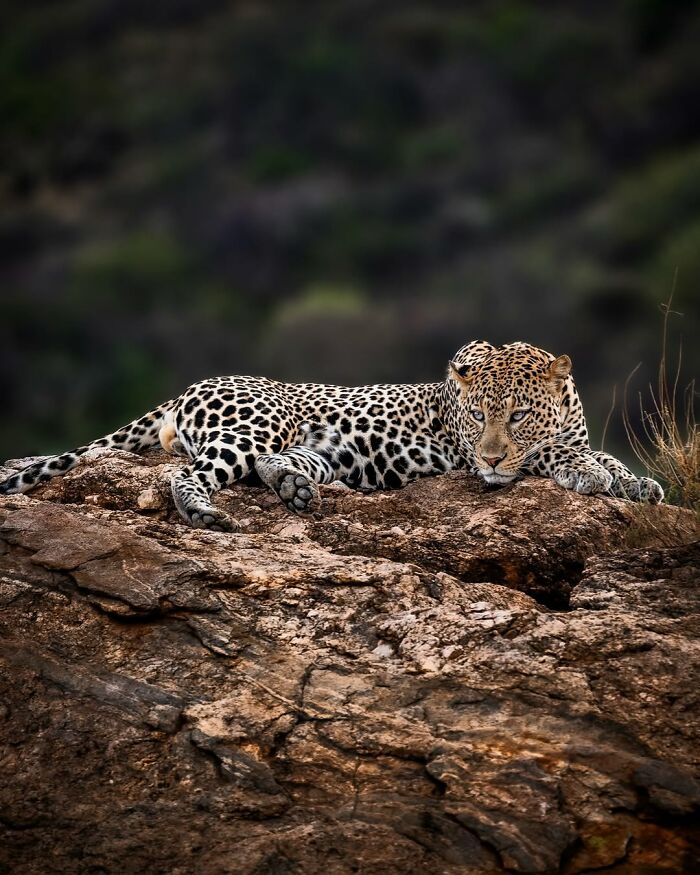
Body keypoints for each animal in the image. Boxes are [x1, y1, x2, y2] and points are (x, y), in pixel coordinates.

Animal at [0, 341, 663, 531]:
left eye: (518, 414)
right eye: (477, 417)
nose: (493, 454)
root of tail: (192, 384)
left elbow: (591, 450)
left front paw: (635, 482)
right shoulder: (469, 452)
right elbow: (554, 455)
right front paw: (589, 470)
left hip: (309, 449)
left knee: (277, 468)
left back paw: (294, 488)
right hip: (256, 424)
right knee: (185, 471)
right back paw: (201, 512)